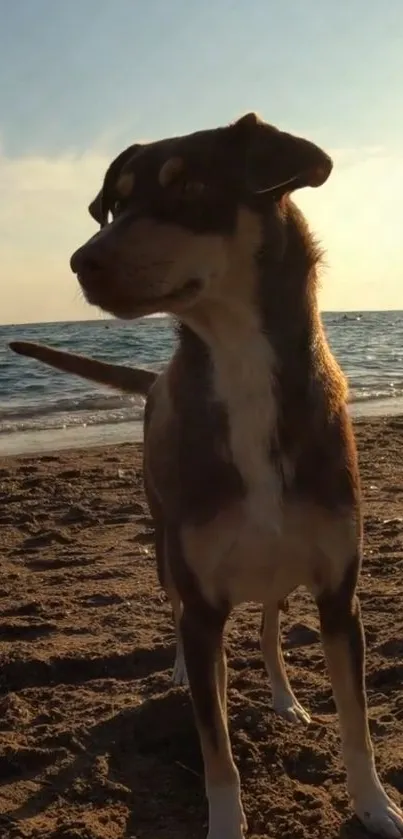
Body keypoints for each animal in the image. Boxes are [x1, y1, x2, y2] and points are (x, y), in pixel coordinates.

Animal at [10, 113, 403, 839]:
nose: (82, 261)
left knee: (269, 626)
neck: (240, 361)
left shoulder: (341, 596)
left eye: (188, 186)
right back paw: (181, 673)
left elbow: (357, 724)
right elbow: (215, 745)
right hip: (165, 543)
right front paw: (225, 818)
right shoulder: (203, 601)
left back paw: (282, 695)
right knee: (183, 620)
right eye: (116, 205)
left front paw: (374, 805)